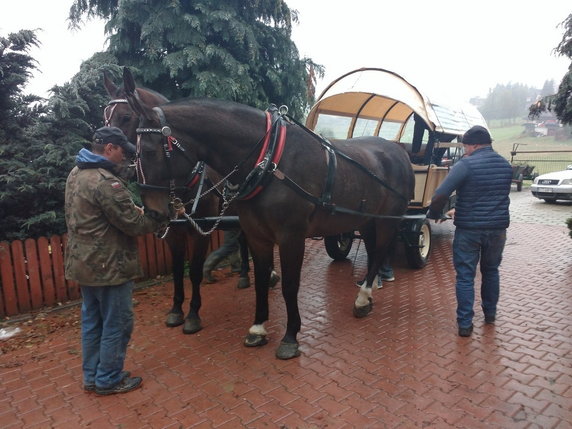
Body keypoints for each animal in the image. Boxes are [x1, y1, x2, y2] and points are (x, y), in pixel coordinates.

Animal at [103, 72, 250, 334]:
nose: (109, 158)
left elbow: (195, 271)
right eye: (104, 116)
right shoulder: (173, 232)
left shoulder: (199, 231)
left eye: (126, 116)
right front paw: (176, 310)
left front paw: (192, 314)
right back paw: (244, 275)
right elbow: (178, 270)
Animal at [123, 67, 414, 358]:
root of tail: (397, 149)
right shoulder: (257, 235)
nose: (153, 213)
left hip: (388, 220)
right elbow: (261, 280)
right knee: (373, 247)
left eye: (148, 150)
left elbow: (290, 285)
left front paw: (290, 336)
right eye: (134, 152)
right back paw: (369, 289)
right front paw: (258, 328)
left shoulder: (291, 237)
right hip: (366, 219)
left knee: (380, 250)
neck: (270, 160)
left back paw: (363, 298)